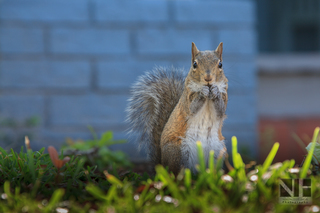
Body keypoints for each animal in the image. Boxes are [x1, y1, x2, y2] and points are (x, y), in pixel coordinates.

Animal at [126, 41, 229, 175]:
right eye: (194, 64)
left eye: (220, 64)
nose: (208, 78)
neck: (208, 94)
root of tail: (163, 165)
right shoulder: (186, 101)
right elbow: (192, 108)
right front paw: (202, 92)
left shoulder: (224, 96)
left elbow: (220, 110)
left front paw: (215, 91)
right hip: (178, 151)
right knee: (177, 173)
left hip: (217, 152)